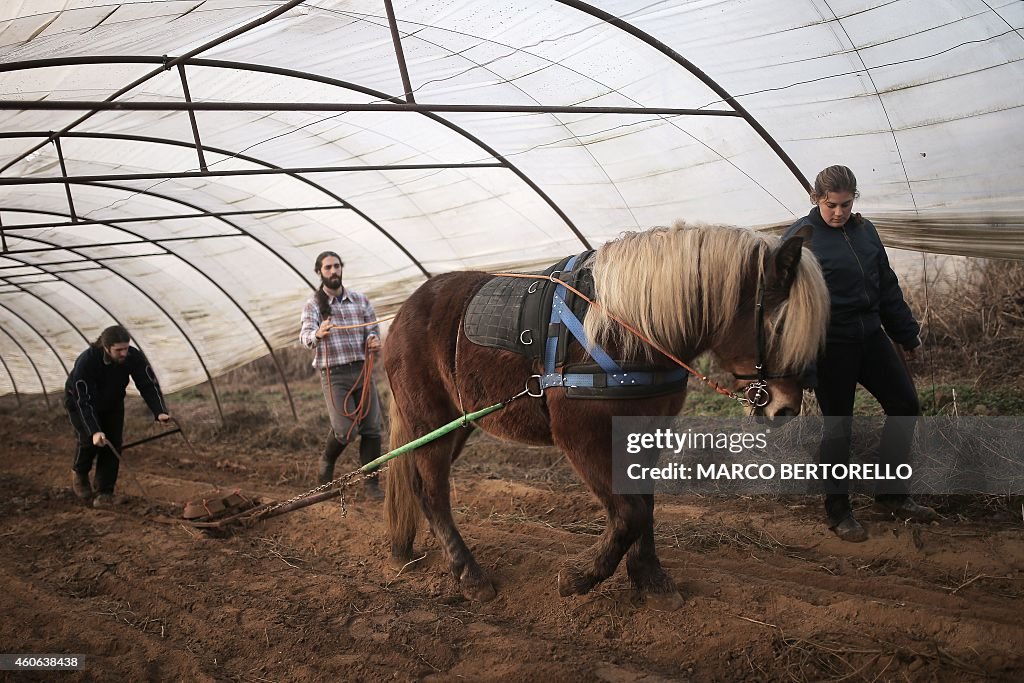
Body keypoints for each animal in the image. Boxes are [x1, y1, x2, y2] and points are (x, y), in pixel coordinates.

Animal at [380, 222, 827, 602]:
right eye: (778, 324)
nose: (786, 409)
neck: (628, 327)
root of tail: (402, 313)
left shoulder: (645, 430)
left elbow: (645, 505)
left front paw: (650, 579)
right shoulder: (583, 437)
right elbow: (629, 513)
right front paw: (580, 576)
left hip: (456, 425)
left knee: (419, 486)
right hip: (430, 420)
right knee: (434, 492)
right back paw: (469, 574)